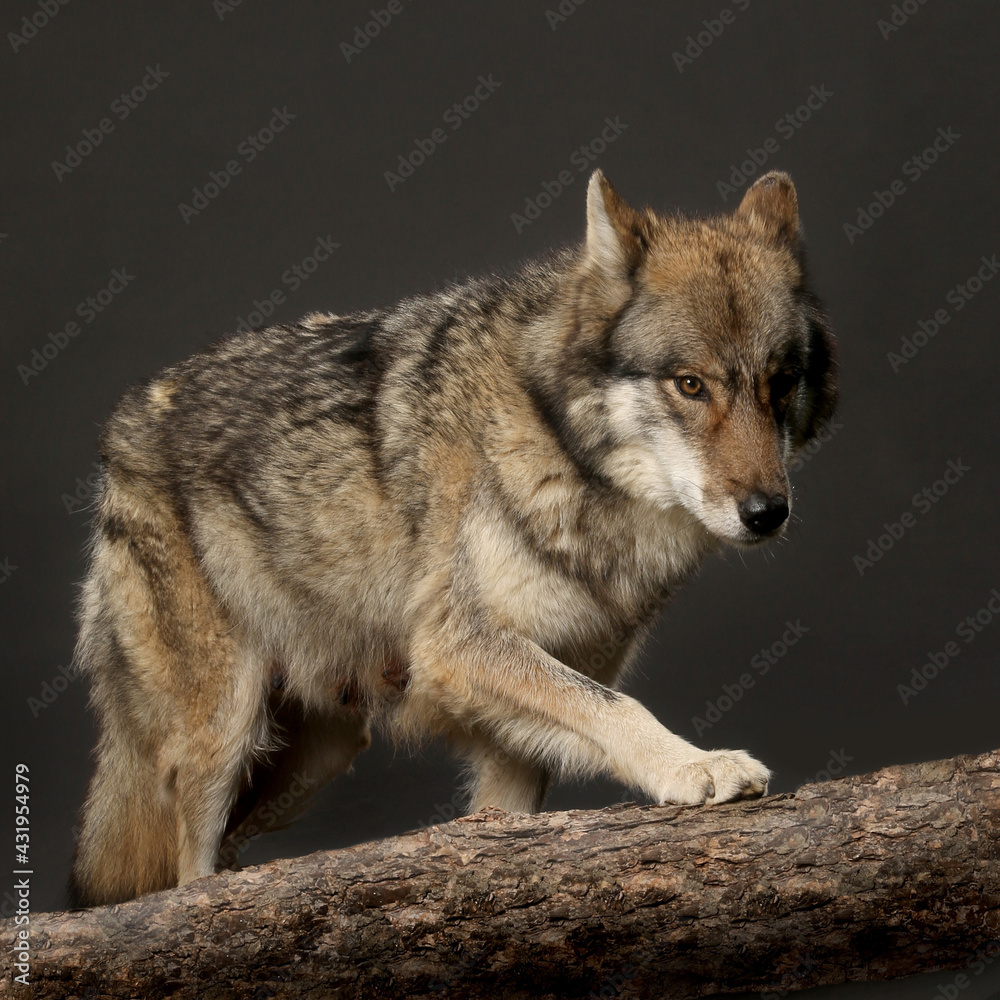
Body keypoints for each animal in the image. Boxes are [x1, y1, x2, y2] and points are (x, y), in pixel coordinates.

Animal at [69, 168, 837, 906]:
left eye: (781, 382)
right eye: (690, 385)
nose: (767, 512)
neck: (561, 450)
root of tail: (120, 426)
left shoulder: (524, 729)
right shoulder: (458, 648)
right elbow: (621, 709)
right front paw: (695, 765)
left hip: (320, 750)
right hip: (223, 735)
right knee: (181, 882)